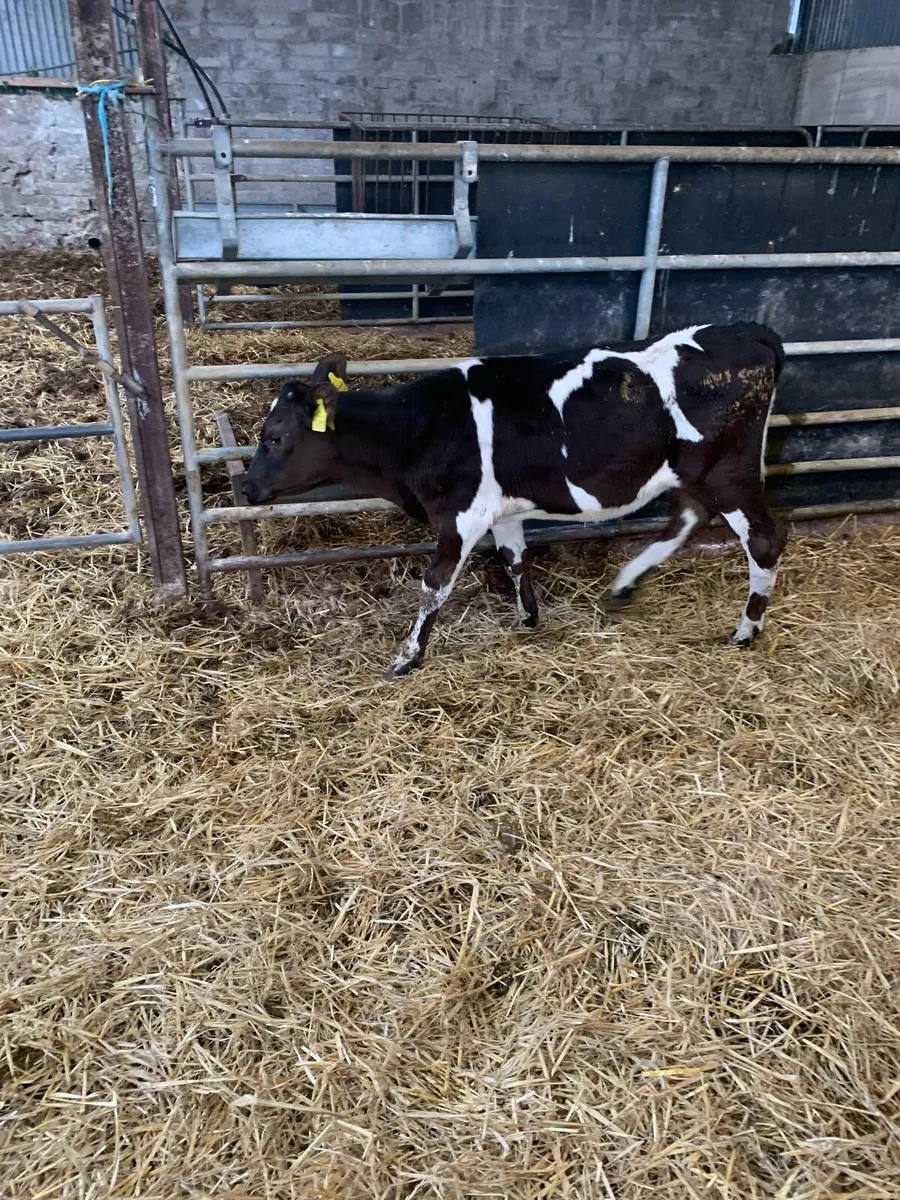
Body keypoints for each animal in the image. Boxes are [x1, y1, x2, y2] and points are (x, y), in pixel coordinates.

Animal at [242, 324, 787, 678]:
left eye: (273, 437)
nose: (245, 488)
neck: (418, 428)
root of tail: (750, 331)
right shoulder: (501, 509)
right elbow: (514, 559)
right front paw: (528, 618)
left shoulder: (463, 513)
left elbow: (435, 585)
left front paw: (407, 657)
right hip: (692, 472)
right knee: (687, 518)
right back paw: (624, 584)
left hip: (727, 471)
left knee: (764, 539)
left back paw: (746, 631)